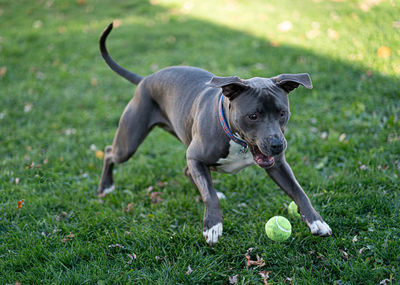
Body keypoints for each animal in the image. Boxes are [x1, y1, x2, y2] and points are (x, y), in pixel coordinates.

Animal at [97, 22, 332, 244]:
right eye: (253, 116)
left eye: (282, 113)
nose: (277, 145)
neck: (237, 140)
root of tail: (146, 79)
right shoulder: (196, 157)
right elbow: (209, 195)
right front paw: (212, 225)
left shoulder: (278, 166)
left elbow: (298, 191)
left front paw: (316, 221)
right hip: (129, 143)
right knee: (110, 152)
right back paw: (106, 186)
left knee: (188, 172)